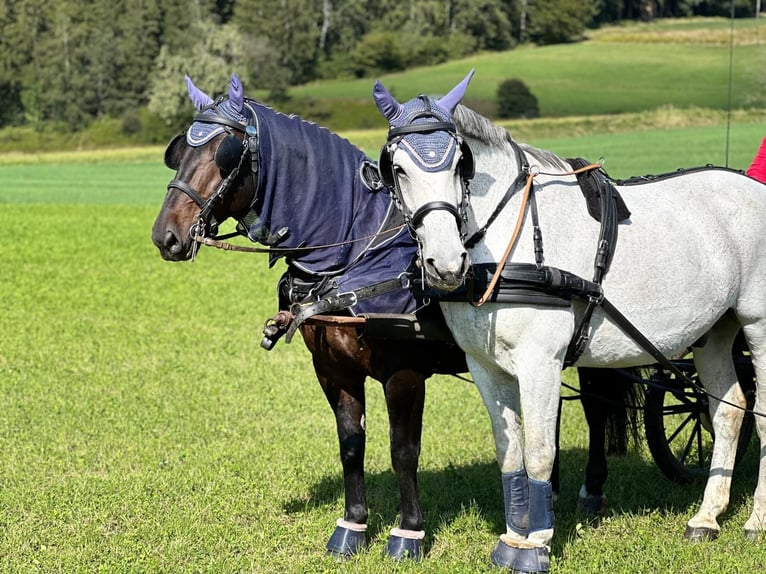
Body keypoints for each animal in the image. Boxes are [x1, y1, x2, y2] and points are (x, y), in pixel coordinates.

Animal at [153, 74, 640, 564]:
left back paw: (590, 492)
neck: (353, 257)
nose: (165, 236)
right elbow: (351, 446)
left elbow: (403, 451)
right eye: (179, 152)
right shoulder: (333, 371)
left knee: (596, 409)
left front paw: (408, 533)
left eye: (225, 154)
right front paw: (351, 526)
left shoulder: (403, 374)